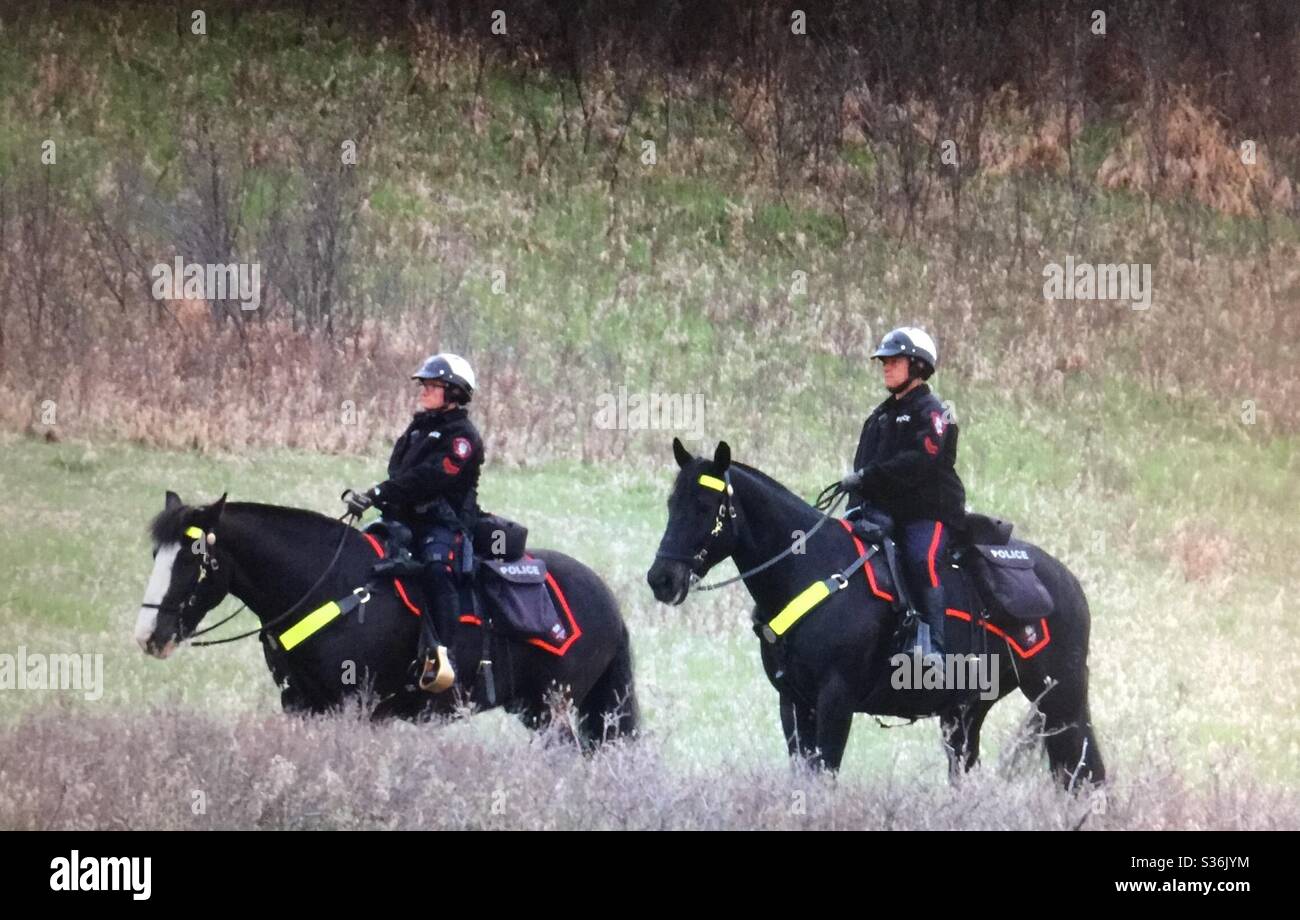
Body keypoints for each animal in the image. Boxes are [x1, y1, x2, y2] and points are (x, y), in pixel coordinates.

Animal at [135, 491, 634, 743]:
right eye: (156, 554)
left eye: (194, 558)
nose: (148, 635)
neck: (328, 584)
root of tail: (607, 601)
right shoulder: (300, 703)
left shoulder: (354, 705)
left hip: (554, 709)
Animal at [644, 441, 1102, 784]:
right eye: (671, 502)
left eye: (706, 507)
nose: (661, 579)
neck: (812, 568)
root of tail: (1069, 583)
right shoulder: (793, 701)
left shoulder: (836, 698)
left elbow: (825, 775)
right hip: (967, 712)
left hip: (1060, 700)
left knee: (1083, 774)